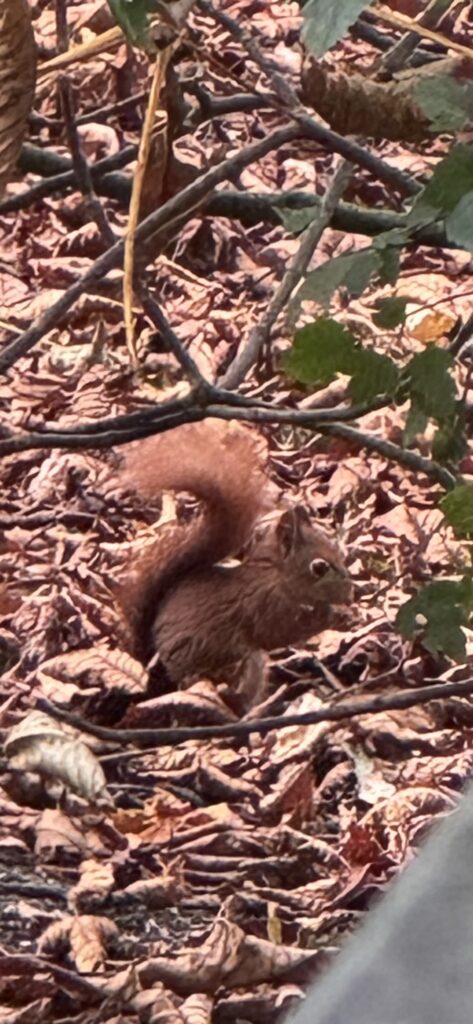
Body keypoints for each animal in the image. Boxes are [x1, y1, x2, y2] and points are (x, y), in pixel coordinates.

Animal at [119, 420, 352, 713]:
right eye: (319, 567)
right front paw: (339, 615)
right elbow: (287, 630)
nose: (351, 593)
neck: (276, 577)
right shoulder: (267, 607)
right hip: (233, 662)